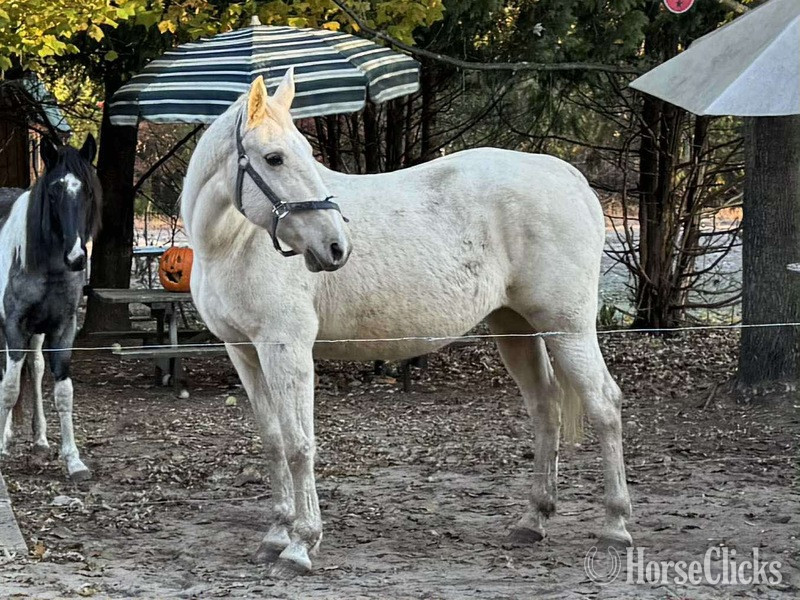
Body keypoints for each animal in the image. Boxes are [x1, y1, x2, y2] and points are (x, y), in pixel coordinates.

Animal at [0, 135, 101, 482]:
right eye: (54, 191)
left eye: (87, 191)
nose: (76, 258)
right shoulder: (14, 326)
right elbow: (9, 388)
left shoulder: (62, 329)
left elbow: (62, 392)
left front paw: (73, 460)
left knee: (35, 368)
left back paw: (38, 438)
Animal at [181, 70, 632, 577]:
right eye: (274, 157)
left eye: (306, 153)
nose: (336, 246)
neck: (233, 244)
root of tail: (570, 178)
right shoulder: (244, 352)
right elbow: (275, 442)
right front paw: (276, 534)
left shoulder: (286, 347)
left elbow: (300, 445)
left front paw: (300, 545)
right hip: (514, 328)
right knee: (545, 407)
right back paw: (532, 520)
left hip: (566, 328)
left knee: (604, 404)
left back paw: (615, 526)